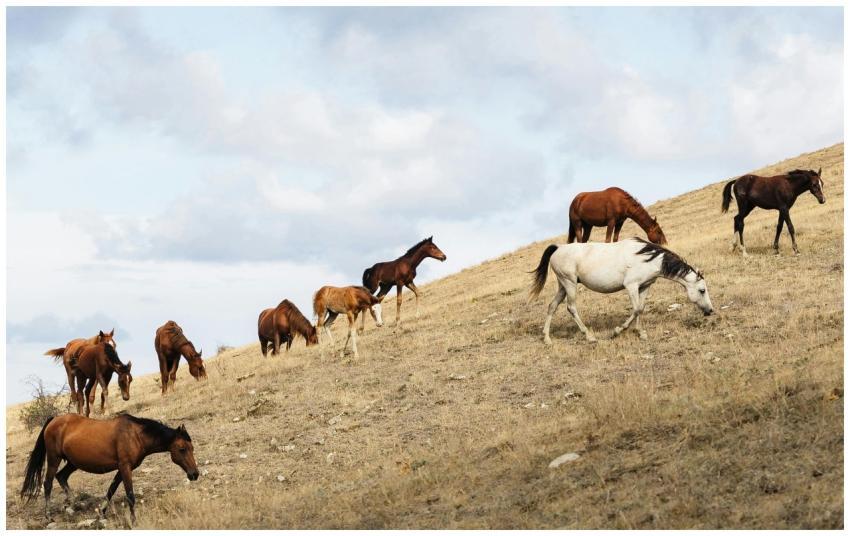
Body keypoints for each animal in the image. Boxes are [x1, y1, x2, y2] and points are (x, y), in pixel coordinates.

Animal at [20, 413, 198, 523]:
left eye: (192, 448)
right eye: (182, 449)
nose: (194, 474)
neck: (135, 434)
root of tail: (53, 420)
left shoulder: (122, 469)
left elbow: (110, 491)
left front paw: (101, 513)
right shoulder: (125, 467)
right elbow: (130, 495)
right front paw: (133, 520)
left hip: (73, 462)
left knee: (61, 476)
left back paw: (73, 505)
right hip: (54, 459)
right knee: (48, 483)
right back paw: (49, 516)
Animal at [529, 238, 713, 344]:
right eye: (702, 290)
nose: (710, 311)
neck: (648, 258)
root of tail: (558, 248)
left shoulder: (645, 286)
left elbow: (641, 309)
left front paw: (641, 333)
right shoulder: (631, 286)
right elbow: (636, 309)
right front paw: (617, 331)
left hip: (563, 286)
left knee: (552, 306)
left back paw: (547, 339)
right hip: (570, 284)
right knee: (571, 307)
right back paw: (589, 336)